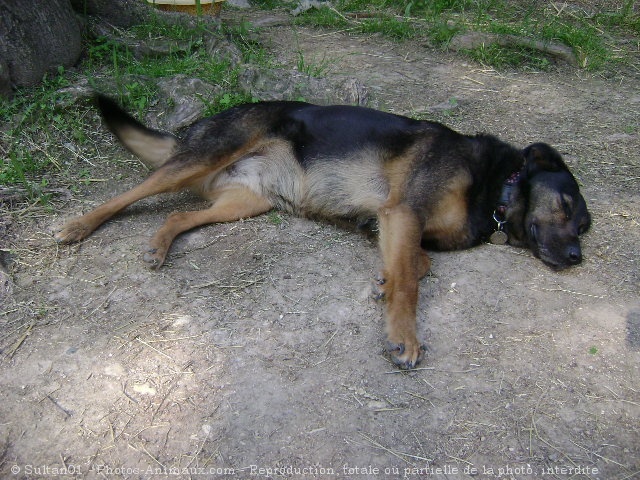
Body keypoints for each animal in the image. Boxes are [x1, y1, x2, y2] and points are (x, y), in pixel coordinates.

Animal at [53, 96, 592, 368]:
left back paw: (158, 245)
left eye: (584, 225)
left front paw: (384, 280)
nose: (576, 257)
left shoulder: (390, 221)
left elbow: (417, 263)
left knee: (174, 217)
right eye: (566, 206)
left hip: (244, 202)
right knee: (132, 192)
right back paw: (79, 225)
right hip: (202, 157)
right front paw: (403, 337)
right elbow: (412, 283)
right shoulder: (403, 213)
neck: (497, 184)